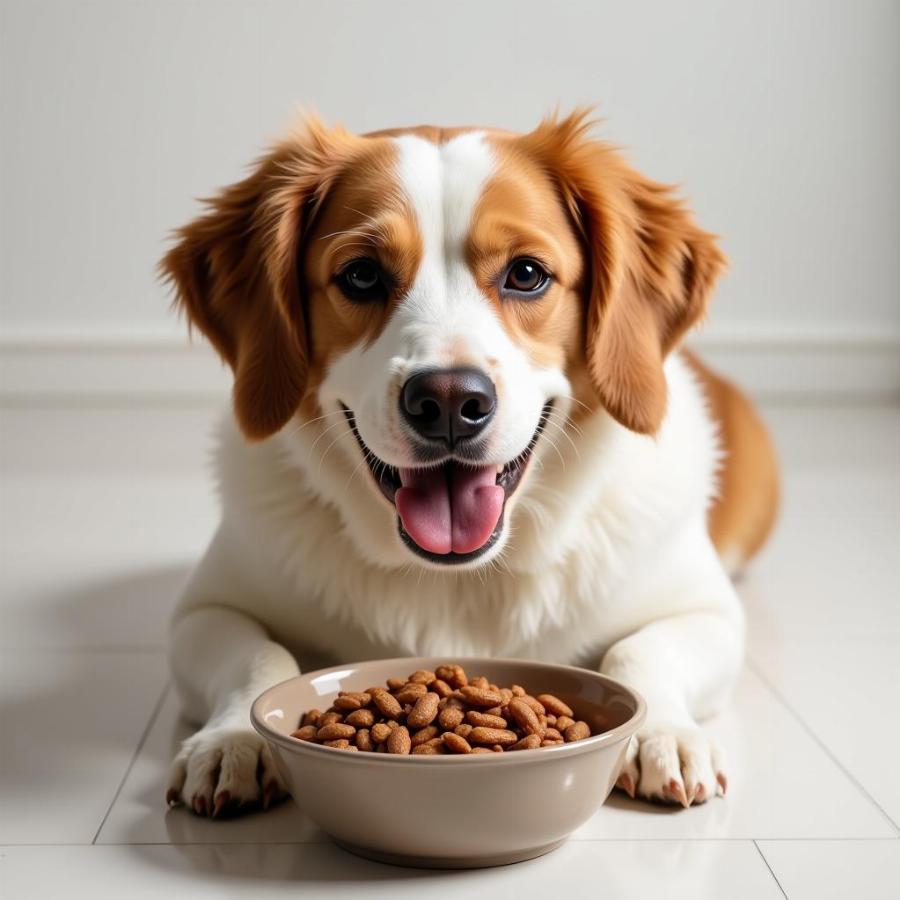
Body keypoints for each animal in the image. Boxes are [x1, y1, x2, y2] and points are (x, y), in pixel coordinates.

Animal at [162, 110, 780, 816]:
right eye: (362, 275)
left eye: (527, 273)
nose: (450, 402)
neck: (458, 581)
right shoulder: (206, 609)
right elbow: (260, 657)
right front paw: (232, 739)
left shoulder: (705, 610)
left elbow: (638, 651)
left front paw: (663, 732)